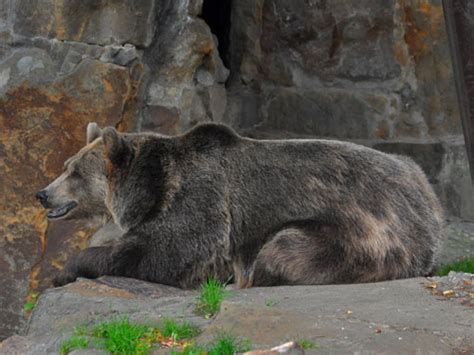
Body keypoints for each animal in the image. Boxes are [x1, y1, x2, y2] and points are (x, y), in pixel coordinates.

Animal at [37, 122, 444, 290]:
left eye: (74, 171)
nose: (42, 193)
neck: (149, 190)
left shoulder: (201, 199)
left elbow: (161, 253)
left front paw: (63, 270)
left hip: (363, 234)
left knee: (284, 249)